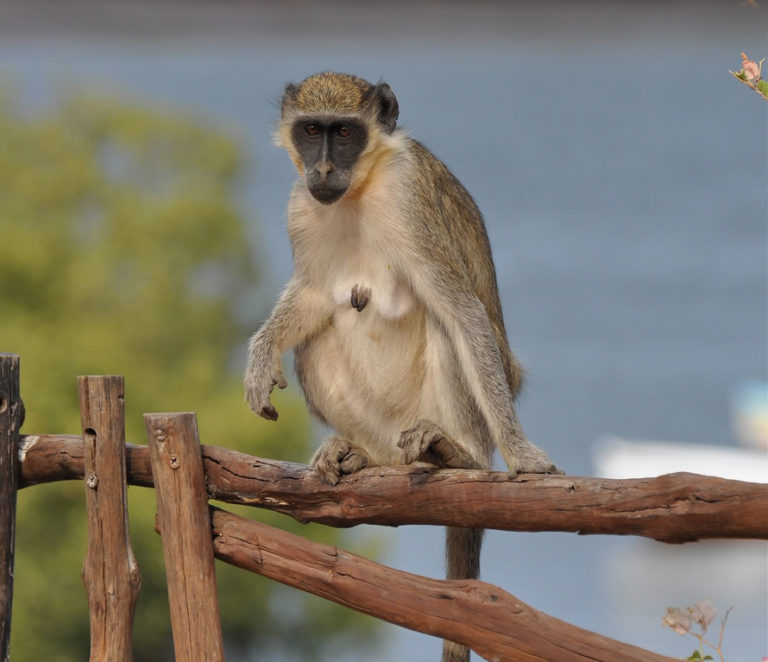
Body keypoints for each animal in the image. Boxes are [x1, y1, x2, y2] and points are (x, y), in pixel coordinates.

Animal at [244, 72, 561, 662]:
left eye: (344, 132)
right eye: (311, 131)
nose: (323, 170)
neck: (361, 189)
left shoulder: (411, 198)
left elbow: (461, 309)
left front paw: (523, 453)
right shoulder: (301, 205)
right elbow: (315, 297)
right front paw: (260, 354)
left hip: (435, 414)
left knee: (445, 325)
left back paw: (458, 455)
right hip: (384, 430)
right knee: (317, 338)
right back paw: (360, 457)